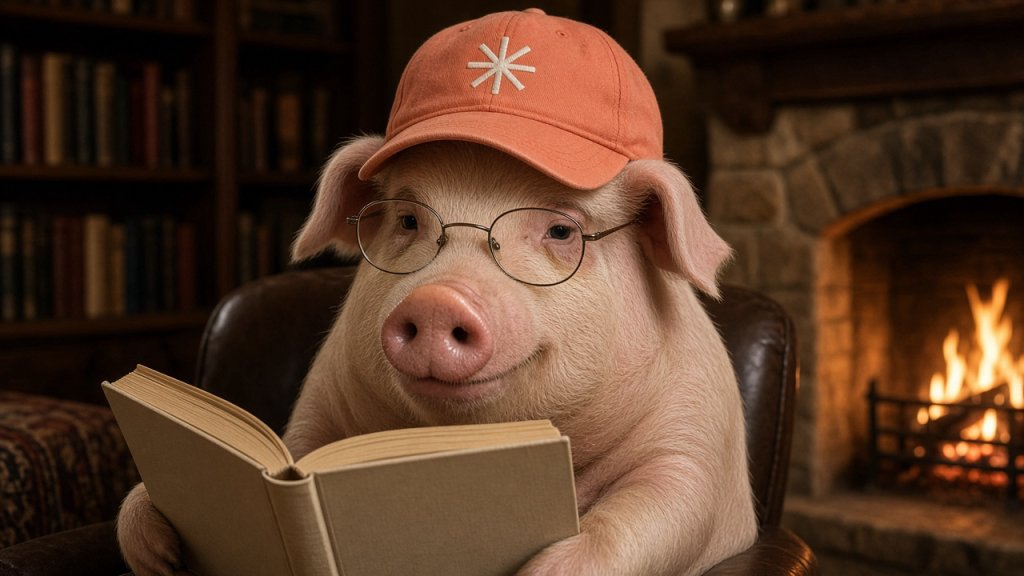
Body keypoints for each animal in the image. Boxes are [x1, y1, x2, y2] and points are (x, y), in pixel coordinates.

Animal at [116, 8, 758, 576]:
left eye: (561, 231)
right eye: (407, 221)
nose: (437, 300)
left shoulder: (698, 443)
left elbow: (661, 508)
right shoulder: (318, 406)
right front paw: (156, 548)